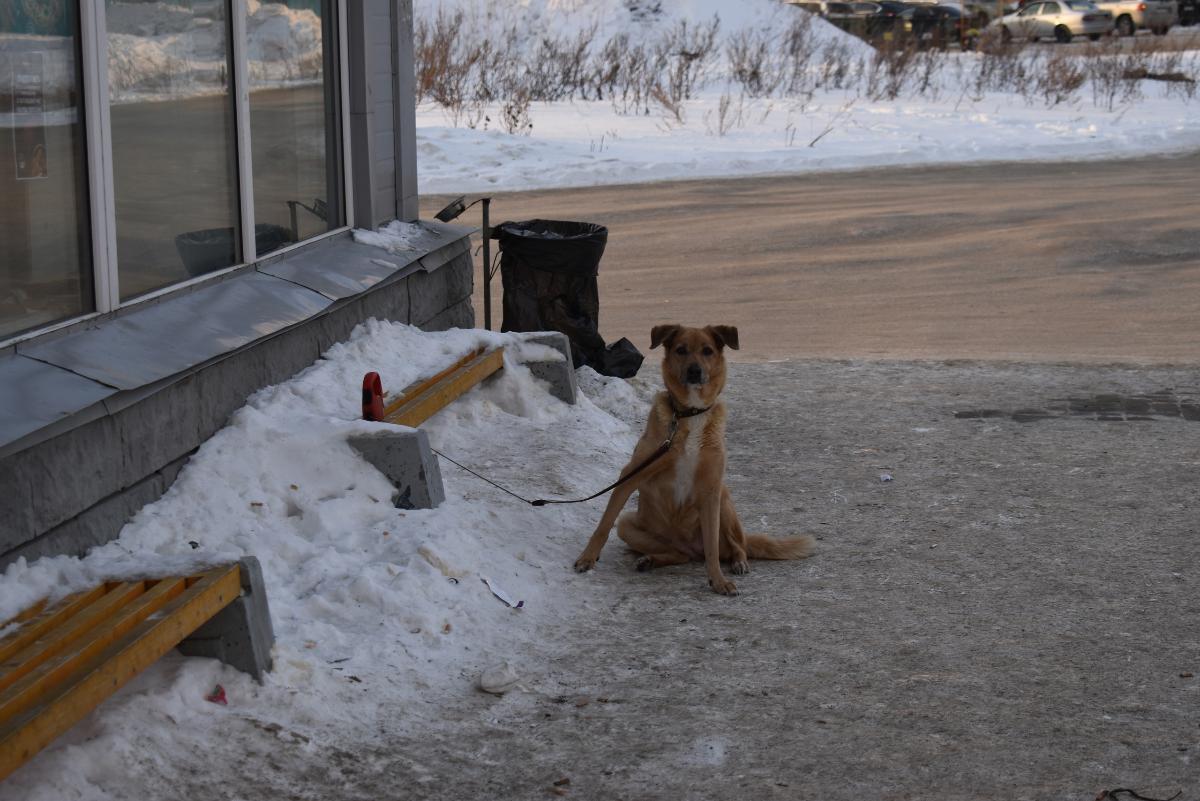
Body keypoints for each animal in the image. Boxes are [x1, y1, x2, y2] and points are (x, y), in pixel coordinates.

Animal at [573, 326, 816, 594]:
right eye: (681, 350)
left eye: (707, 351)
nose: (694, 370)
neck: (690, 414)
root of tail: (687, 544)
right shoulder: (630, 475)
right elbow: (604, 525)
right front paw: (587, 558)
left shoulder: (711, 489)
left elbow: (711, 548)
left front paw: (718, 581)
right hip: (629, 525)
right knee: (680, 555)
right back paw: (650, 560)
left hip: (723, 500)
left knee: (736, 545)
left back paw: (738, 562)